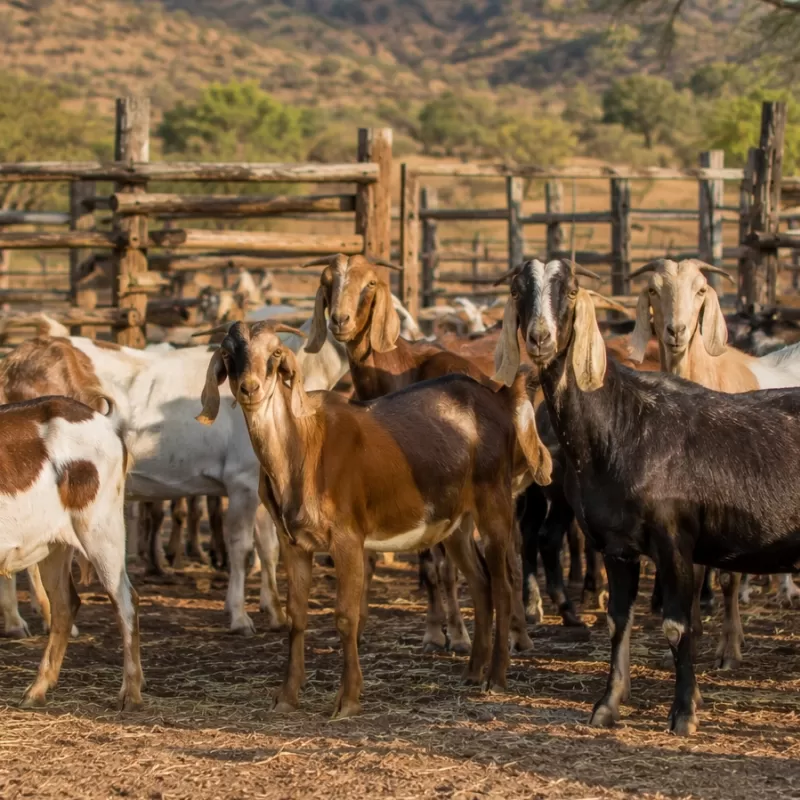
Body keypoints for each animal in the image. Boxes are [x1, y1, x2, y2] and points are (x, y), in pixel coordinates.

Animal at [0, 396, 143, 709]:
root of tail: (105, 421)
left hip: (101, 529)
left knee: (125, 600)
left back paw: (131, 693)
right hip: (55, 544)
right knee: (65, 605)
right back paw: (37, 689)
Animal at [196, 321, 552, 717]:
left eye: (274, 354)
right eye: (229, 354)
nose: (250, 388)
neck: (303, 447)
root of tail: (501, 399)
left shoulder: (347, 538)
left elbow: (345, 616)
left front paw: (348, 700)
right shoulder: (294, 542)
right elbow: (297, 616)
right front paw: (287, 696)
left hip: (494, 501)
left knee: (503, 583)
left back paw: (496, 677)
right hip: (456, 521)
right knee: (480, 582)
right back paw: (473, 671)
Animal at [495, 257, 800, 735]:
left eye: (571, 290)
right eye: (516, 291)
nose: (539, 337)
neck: (622, 423)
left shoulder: (675, 541)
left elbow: (677, 626)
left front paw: (684, 713)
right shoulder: (617, 547)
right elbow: (619, 622)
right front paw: (607, 705)